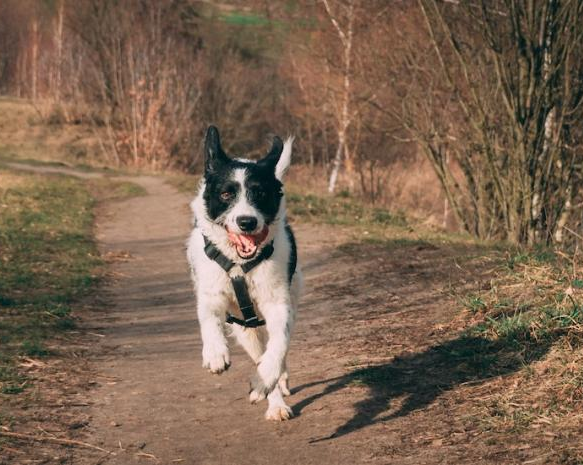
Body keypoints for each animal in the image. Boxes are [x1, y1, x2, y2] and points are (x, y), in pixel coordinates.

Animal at [187, 126, 304, 420]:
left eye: (260, 193)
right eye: (226, 195)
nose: (247, 222)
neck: (240, 265)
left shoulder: (279, 303)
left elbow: (278, 345)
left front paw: (267, 378)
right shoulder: (211, 295)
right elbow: (209, 320)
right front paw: (215, 353)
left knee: (274, 350)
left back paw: (276, 391)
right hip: (243, 329)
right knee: (256, 349)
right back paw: (275, 401)